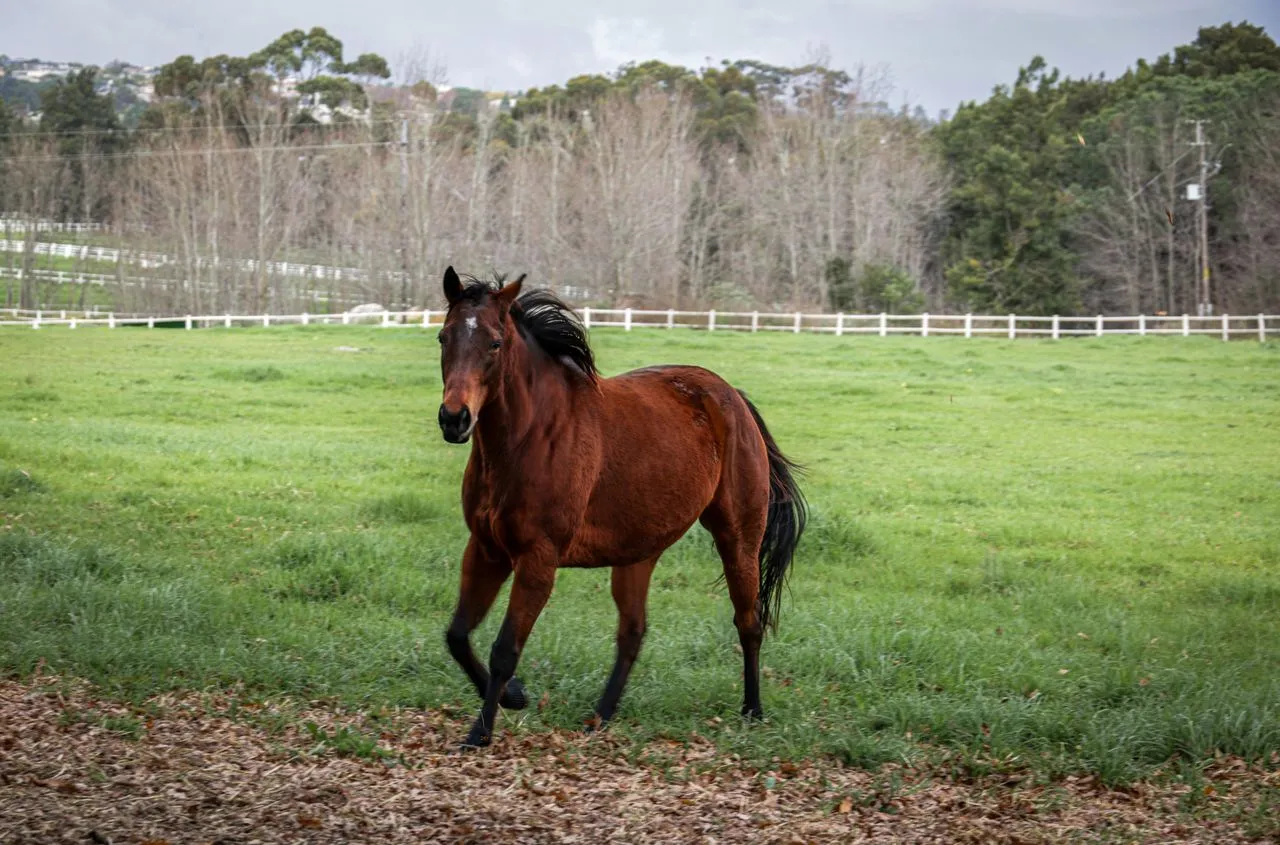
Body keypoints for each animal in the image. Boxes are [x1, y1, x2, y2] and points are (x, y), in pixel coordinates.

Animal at [435, 266, 807, 749]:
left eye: (495, 343)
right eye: (443, 337)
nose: (454, 419)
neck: (531, 437)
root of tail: (733, 399)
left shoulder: (537, 560)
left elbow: (504, 649)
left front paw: (481, 730)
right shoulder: (486, 549)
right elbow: (458, 635)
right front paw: (514, 696)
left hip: (738, 538)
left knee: (749, 621)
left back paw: (752, 710)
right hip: (638, 554)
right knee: (632, 632)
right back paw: (601, 716)